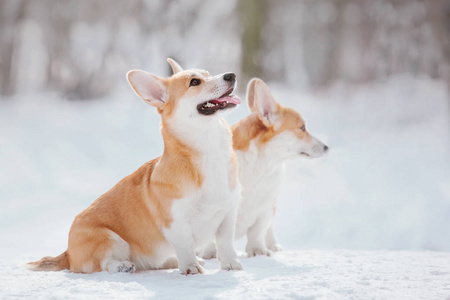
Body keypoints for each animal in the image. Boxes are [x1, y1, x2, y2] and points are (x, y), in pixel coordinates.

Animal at [28, 58, 243, 274]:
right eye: (195, 82)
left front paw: (230, 264)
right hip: (110, 239)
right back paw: (123, 265)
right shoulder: (175, 223)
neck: (208, 150)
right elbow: (186, 246)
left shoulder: (228, 214)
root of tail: (68, 253)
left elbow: (225, 243)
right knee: (105, 263)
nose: (231, 75)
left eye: (208, 74)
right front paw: (191, 267)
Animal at [202, 77, 328, 258]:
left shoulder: (266, 209)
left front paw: (257, 250)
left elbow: (257, 231)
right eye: (302, 128)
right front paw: (210, 252)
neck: (260, 164)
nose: (326, 147)